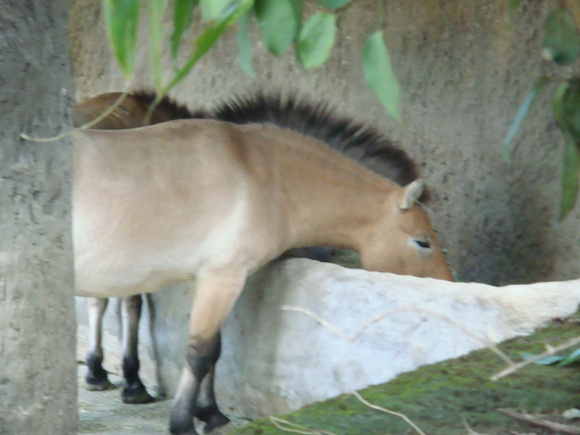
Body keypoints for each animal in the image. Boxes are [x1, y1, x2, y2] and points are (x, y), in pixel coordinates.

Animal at [72, 90, 454, 434]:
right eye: (423, 242)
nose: (447, 283)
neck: (260, 174)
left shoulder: (208, 279)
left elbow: (214, 350)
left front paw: (211, 414)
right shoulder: (223, 278)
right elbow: (199, 352)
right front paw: (182, 423)